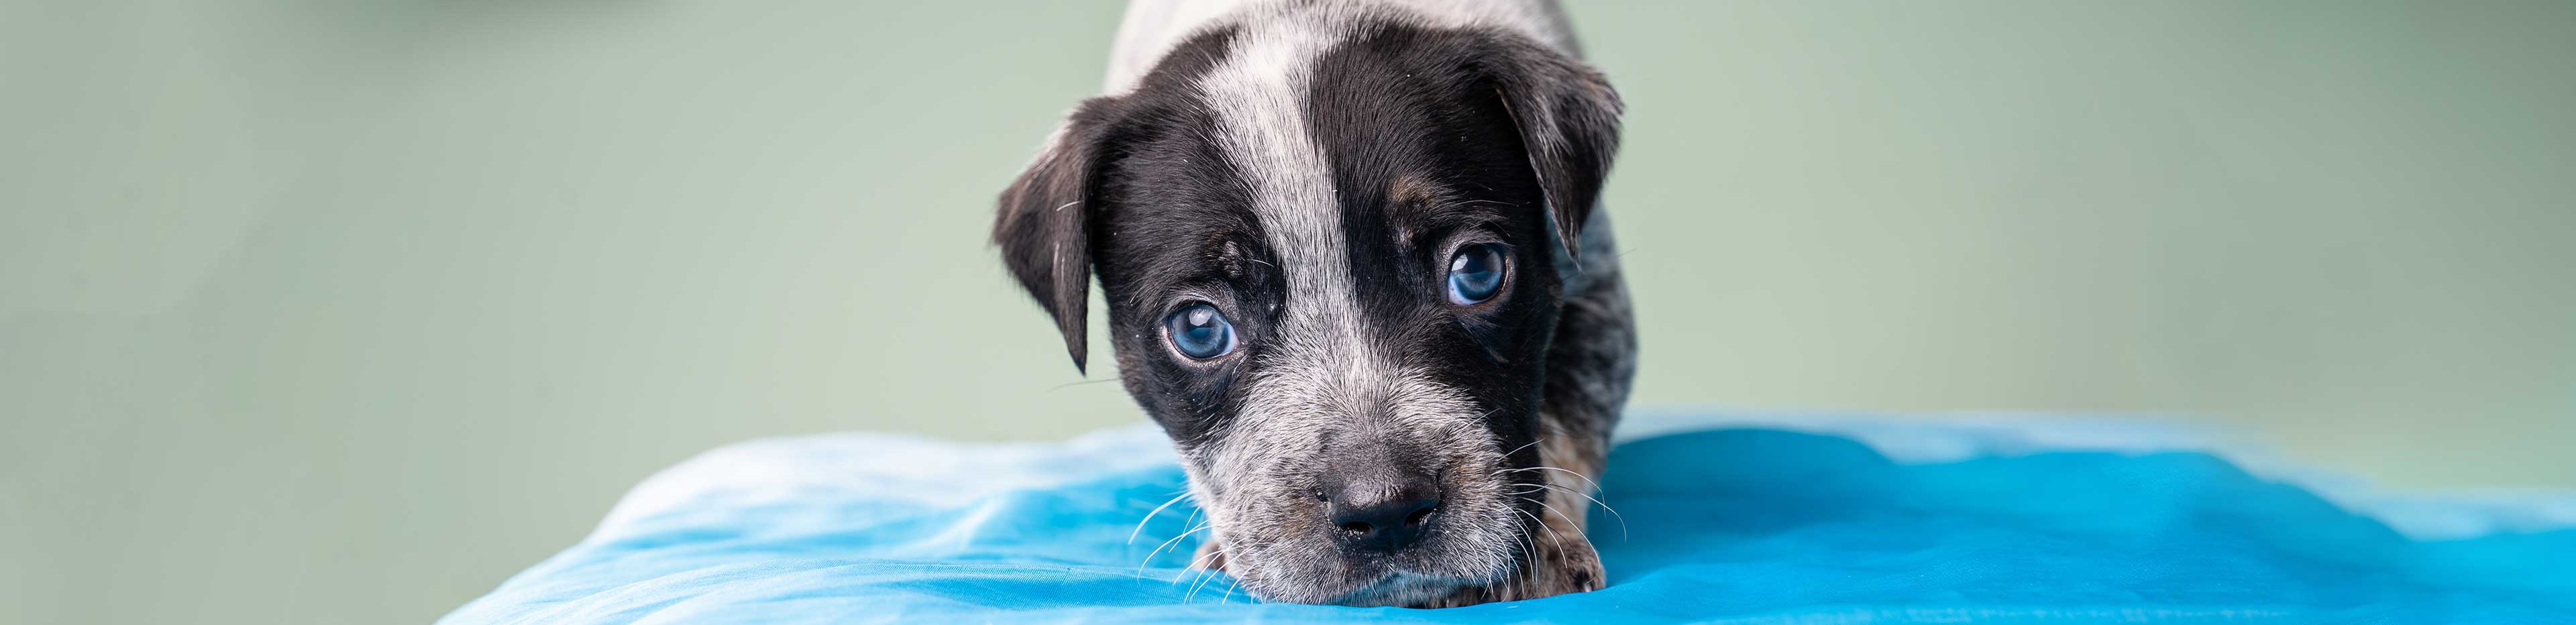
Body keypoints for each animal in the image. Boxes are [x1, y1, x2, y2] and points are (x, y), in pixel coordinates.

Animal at [990, 0, 1633, 608]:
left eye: (1477, 271)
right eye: (1199, 328)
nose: (1384, 507)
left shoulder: (1597, 293)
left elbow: (1567, 418)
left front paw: (1543, 542)